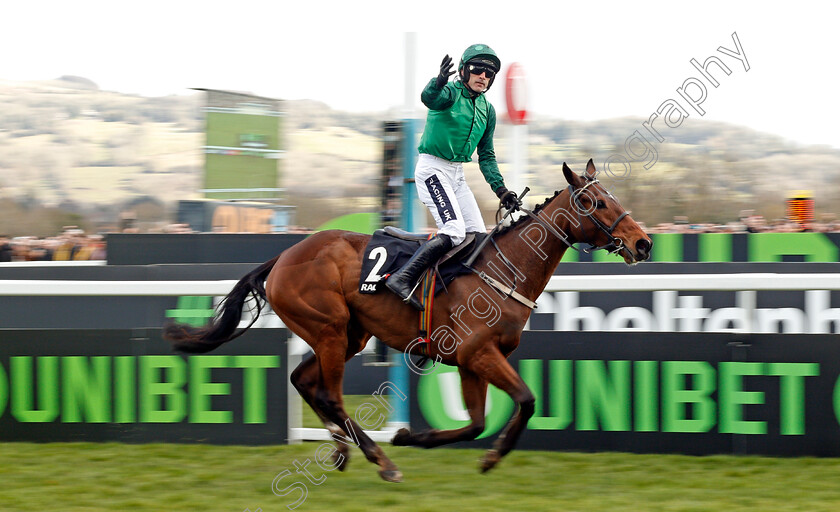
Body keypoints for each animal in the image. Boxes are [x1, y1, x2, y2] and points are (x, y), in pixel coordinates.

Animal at [162, 161, 648, 484]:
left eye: (615, 198)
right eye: (596, 202)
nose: (642, 243)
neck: (503, 269)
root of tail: (282, 257)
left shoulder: (470, 361)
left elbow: (476, 423)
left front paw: (417, 437)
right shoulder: (478, 352)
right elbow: (526, 401)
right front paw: (486, 456)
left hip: (349, 335)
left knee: (303, 380)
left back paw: (342, 448)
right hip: (329, 329)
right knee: (329, 393)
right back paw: (380, 461)